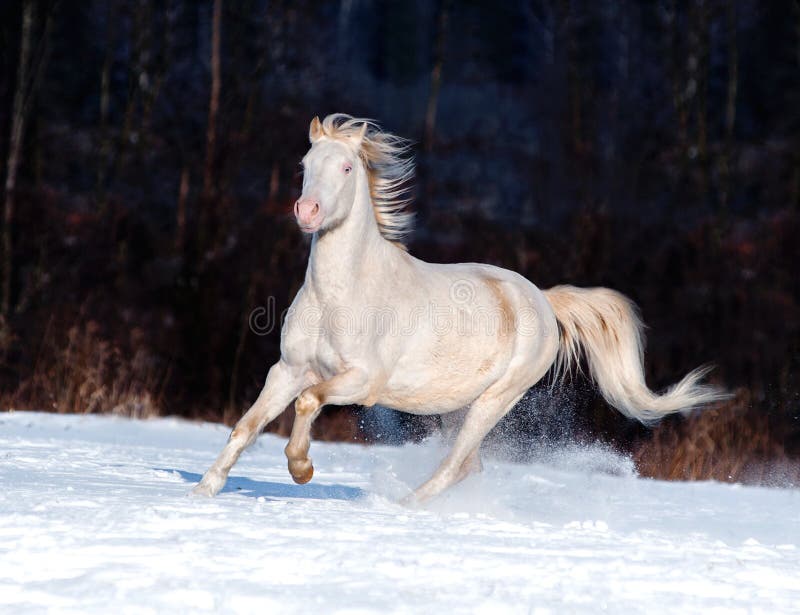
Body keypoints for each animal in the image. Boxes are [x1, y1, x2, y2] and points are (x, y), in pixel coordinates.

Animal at [194, 113, 724, 502]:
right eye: (306, 162)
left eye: (345, 168)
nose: (308, 213)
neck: (342, 295)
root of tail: (542, 300)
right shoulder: (288, 369)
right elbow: (246, 426)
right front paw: (204, 490)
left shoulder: (362, 382)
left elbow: (307, 403)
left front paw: (301, 468)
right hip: (456, 405)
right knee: (469, 463)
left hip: (495, 401)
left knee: (454, 465)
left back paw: (400, 506)